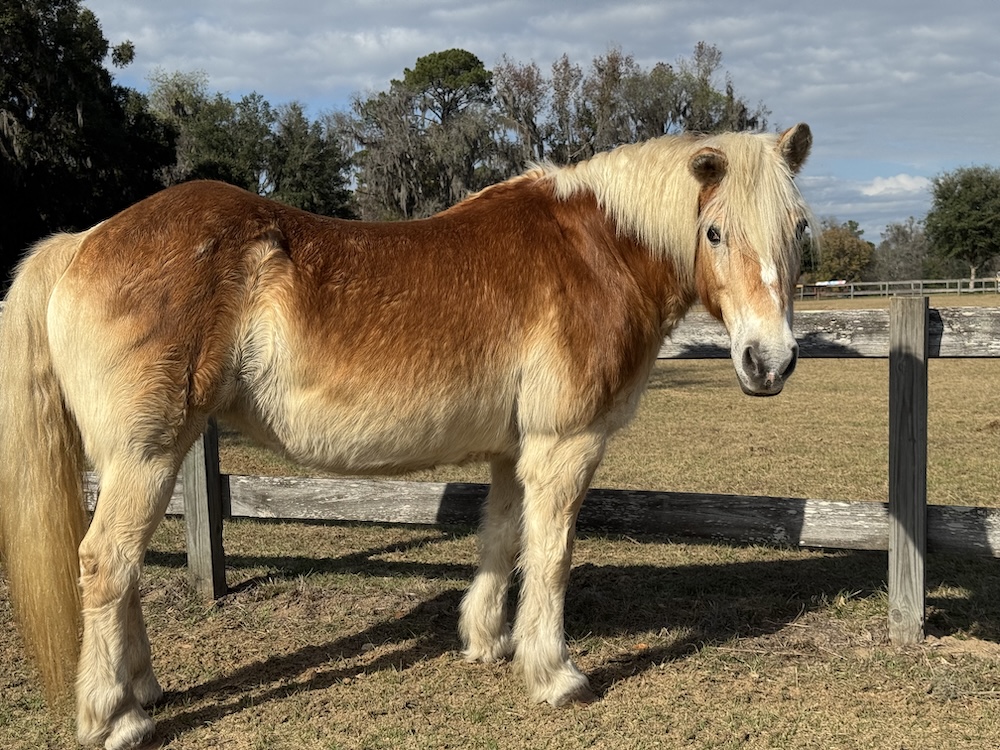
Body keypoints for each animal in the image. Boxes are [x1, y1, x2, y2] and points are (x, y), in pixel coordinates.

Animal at [0, 124, 812, 749]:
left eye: (797, 232)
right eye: (715, 231)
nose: (769, 362)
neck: (595, 249)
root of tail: (81, 242)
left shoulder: (513, 453)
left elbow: (501, 540)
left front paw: (487, 643)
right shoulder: (565, 447)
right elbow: (552, 558)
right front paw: (555, 676)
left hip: (146, 458)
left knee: (125, 572)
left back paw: (144, 690)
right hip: (145, 454)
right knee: (106, 565)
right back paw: (115, 720)